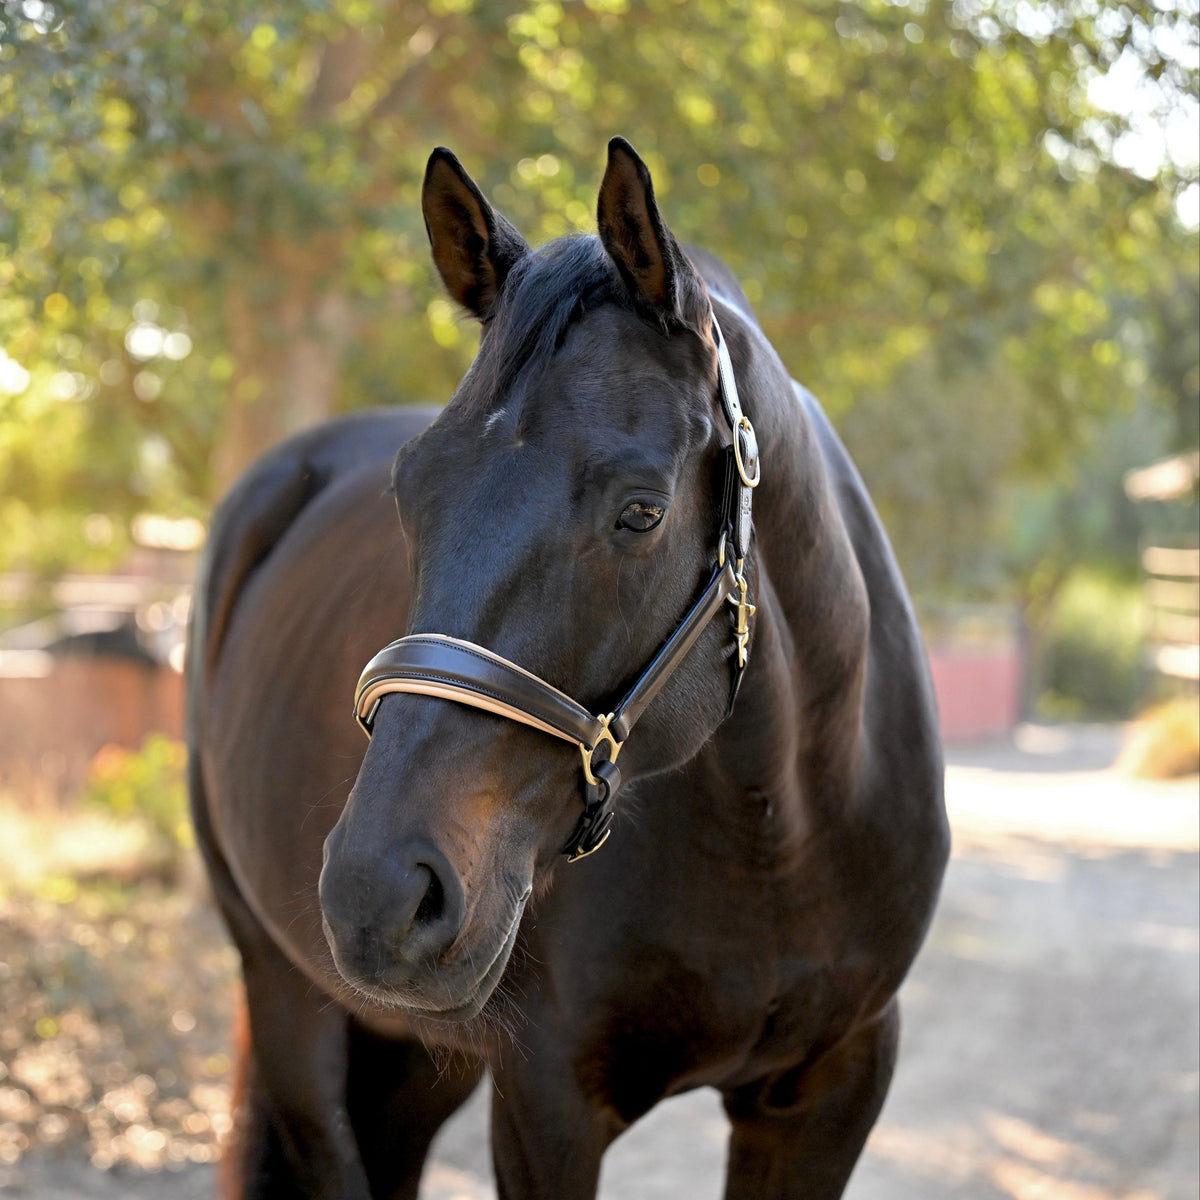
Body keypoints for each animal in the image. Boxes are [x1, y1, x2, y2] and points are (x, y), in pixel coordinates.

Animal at [187, 140, 950, 1200]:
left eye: (641, 511)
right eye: (410, 490)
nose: (379, 893)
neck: (777, 835)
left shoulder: (832, 1086)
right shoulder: (548, 1101)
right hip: (286, 993)